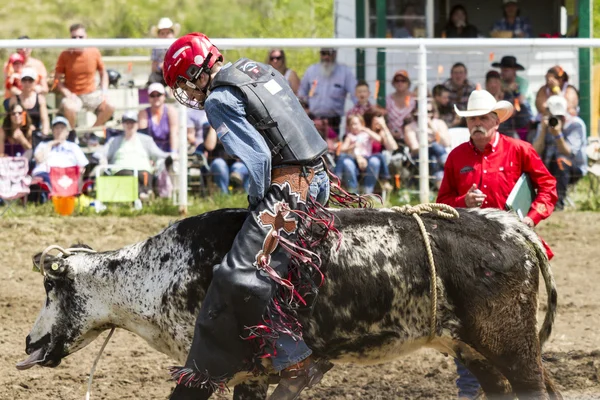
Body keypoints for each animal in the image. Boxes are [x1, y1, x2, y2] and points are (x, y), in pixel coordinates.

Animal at [19, 208, 564, 398]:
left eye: (52, 289)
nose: (27, 341)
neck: (161, 273)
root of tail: (511, 226)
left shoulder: (206, 366)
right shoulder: (253, 376)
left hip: (513, 347)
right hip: (475, 351)